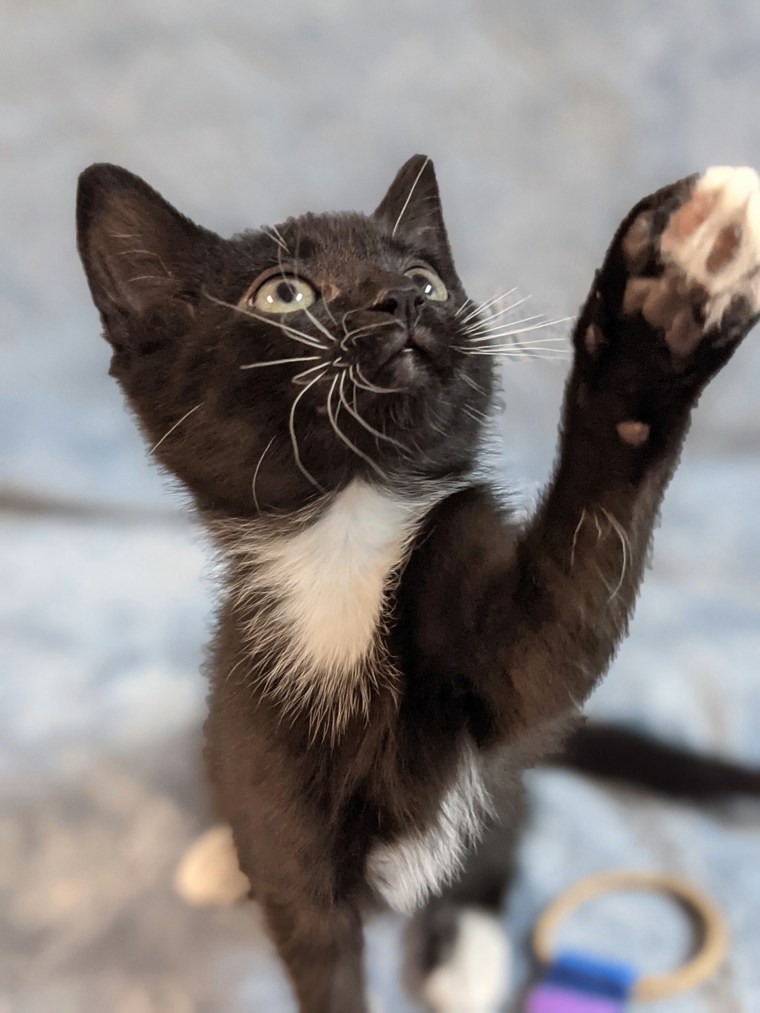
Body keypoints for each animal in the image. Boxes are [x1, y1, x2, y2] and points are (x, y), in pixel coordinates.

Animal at [79, 158, 760, 1013]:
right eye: (284, 293)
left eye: (425, 278)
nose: (399, 299)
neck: (344, 546)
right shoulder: (273, 776)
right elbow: (318, 956)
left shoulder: (488, 599)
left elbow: (560, 629)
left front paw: (662, 311)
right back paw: (218, 852)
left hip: (500, 793)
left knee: (503, 837)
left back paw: (466, 948)